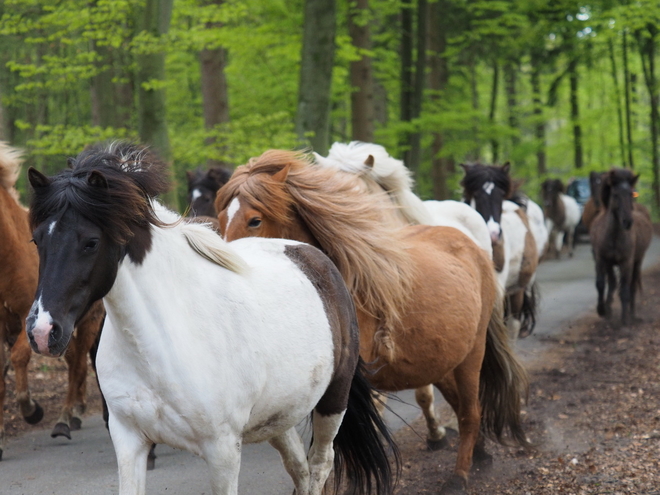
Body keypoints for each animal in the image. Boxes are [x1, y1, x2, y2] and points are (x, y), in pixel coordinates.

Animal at [24, 142, 398, 495]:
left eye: (90, 242)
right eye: (37, 240)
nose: (43, 331)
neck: (163, 343)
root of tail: (312, 255)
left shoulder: (223, 450)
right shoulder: (129, 440)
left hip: (333, 402)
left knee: (320, 464)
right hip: (278, 416)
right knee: (299, 467)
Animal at [217, 149, 532, 494]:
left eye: (255, 219)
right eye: (219, 219)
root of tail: (469, 244)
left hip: (472, 353)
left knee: (470, 412)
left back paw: (460, 475)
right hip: (444, 357)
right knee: (459, 401)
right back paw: (479, 454)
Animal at [592, 169, 652, 328]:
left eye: (631, 194)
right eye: (615, 195)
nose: (627, 222)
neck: (614, 237)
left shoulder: (627, 262)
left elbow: (625, 289)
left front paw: (625, 320)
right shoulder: (602, 260)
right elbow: (601, 284)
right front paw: (602, 310)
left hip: (637, 262)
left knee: (632, 286)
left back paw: (632, 314)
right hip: (609, 264)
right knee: (612, 283)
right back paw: (608, 310)